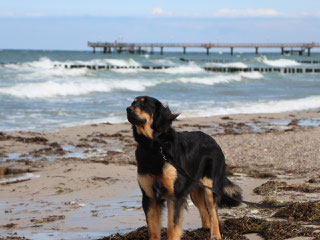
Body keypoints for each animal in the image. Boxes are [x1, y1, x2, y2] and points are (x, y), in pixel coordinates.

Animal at [126, 96, 241, 240]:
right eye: (133, 102)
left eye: (144, 104)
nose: (128, 109)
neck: (155, 147)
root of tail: (214, 141)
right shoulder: (149, 197)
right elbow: (152, 230)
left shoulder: (175, 196)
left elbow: (172, 227)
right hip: (195, 189)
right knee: (204, 210)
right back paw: (204, 229)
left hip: (210, 186)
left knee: (213, 211)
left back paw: (215, 235)